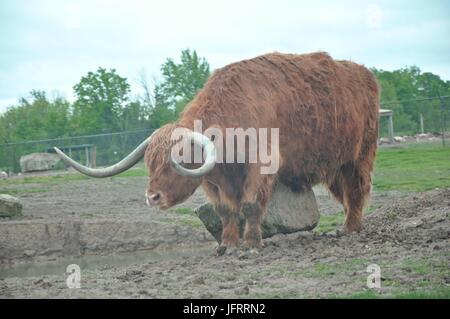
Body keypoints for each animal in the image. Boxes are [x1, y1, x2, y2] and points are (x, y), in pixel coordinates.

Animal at [55, 52, 380, 255]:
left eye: (175, 164)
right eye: (149, 164)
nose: (152, 197)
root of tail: (363, 72)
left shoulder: (261, 167)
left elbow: (250, 205)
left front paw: (251, 243)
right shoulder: (214, 181)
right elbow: (225, 211)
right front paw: (227, 244)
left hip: (359, 156)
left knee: (358, 189)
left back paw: (351, 229)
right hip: (335, 165)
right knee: (345, 194)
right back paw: (349, 225)